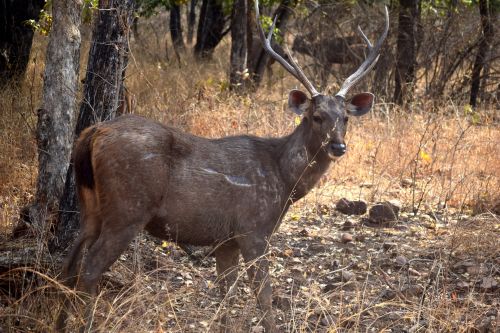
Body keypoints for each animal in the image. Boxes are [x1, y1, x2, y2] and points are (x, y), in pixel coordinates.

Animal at [55, 1, 390, 330]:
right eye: (317, 116)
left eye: (344, 118)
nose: (338, 146)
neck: (284, 181)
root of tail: (92, 133)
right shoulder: (253, 228)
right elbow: (264, 296)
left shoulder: (226, 240)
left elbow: (225, 293)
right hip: (128, 207)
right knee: (90, 268)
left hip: (91, 206)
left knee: (69, 263)